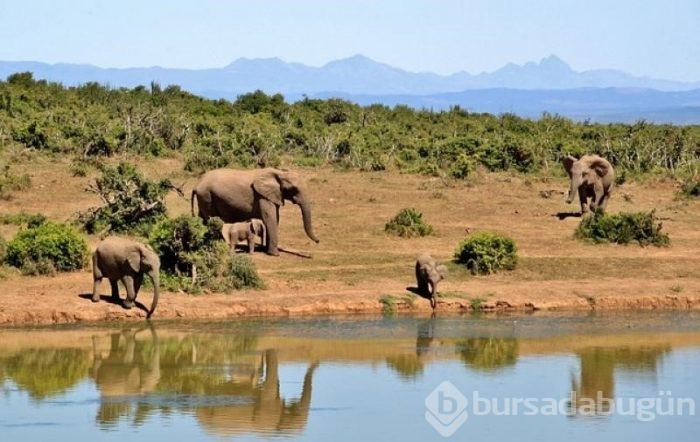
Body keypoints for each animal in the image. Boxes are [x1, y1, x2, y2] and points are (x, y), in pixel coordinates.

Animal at [193, 167, 322, 256]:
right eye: (293, 189)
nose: (318, 241)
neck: (279, 173)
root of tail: (197, 184)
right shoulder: (262, 196)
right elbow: (270, 218)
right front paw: (275, 254)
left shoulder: (272, 195)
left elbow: (275, 219)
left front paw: (267, 250)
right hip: (207, 197)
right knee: (212, 221)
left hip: (204, 198)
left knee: (203, 220)